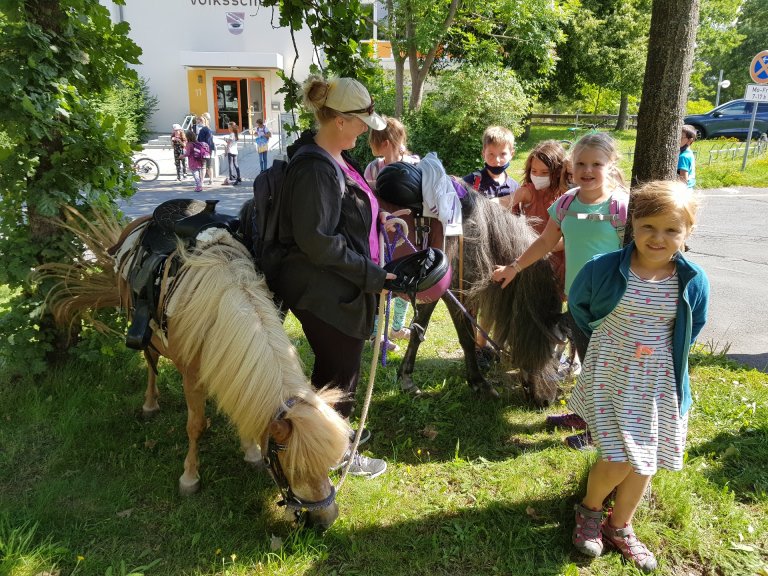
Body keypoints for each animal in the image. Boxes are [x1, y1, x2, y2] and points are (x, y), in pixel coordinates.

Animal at [41, 206, 352, 532]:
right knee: (151, 363)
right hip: (143, 331)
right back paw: (150, 404)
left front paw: (250, 452)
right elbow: (195, 426)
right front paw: (189, 478)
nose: (326, 520)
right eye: (295, 469)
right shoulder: (192, 377)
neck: (221, 309)